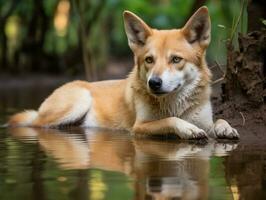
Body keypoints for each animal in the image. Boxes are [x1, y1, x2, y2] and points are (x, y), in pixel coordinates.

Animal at [8, 7, 239, 140]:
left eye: (176, 59)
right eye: (149, 60)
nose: (154, 83)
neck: (175, 103)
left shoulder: (205, 121)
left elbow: (218, 121)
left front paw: (226, 128)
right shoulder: (139, 128)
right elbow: (170, 120)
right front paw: (187, 129)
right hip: (77, 102)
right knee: (34, 123)